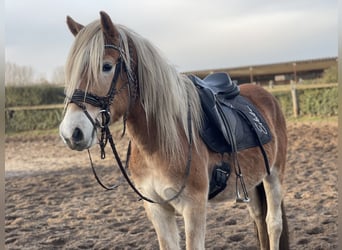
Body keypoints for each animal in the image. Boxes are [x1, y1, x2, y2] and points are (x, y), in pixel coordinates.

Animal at [58, 10, 288, 249]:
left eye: (106, 66)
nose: (71, 132)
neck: (161, 141)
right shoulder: (157, 210)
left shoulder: (194, 207)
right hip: (251, 183)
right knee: (258, 219)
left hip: (274, 174)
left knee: (273, 223)